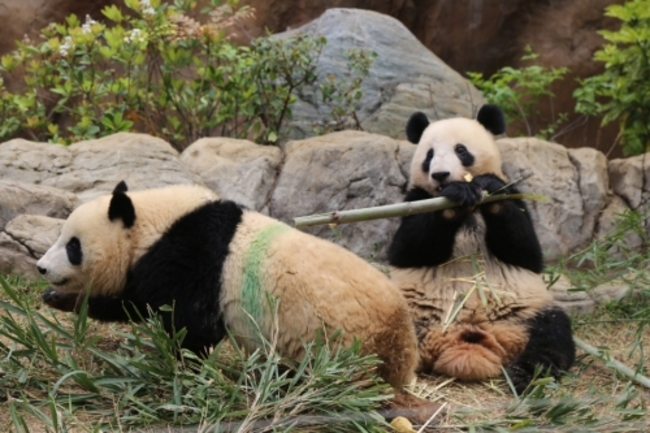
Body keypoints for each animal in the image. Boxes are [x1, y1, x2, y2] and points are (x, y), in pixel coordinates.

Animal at [37, 181, 419, 388]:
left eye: (72, 246)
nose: (41, 268)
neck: (155, 225)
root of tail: (402, 352)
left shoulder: (194, 259)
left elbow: (190, 322)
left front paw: (180, 365)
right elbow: (138, 304)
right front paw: (58, 297)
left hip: (340, 346)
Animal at [387, 105, 575, 392]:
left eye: (460, 150)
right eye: (429, 155)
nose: (440, 175)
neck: (472, 208)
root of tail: (466, 336)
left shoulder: (515, 195)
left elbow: (527, 252)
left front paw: (488, 188)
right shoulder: (414, 200)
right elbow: (407, 249)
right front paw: (456, 194)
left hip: (524, 313)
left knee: (552, 334)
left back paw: (524, 374)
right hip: (413, 313)